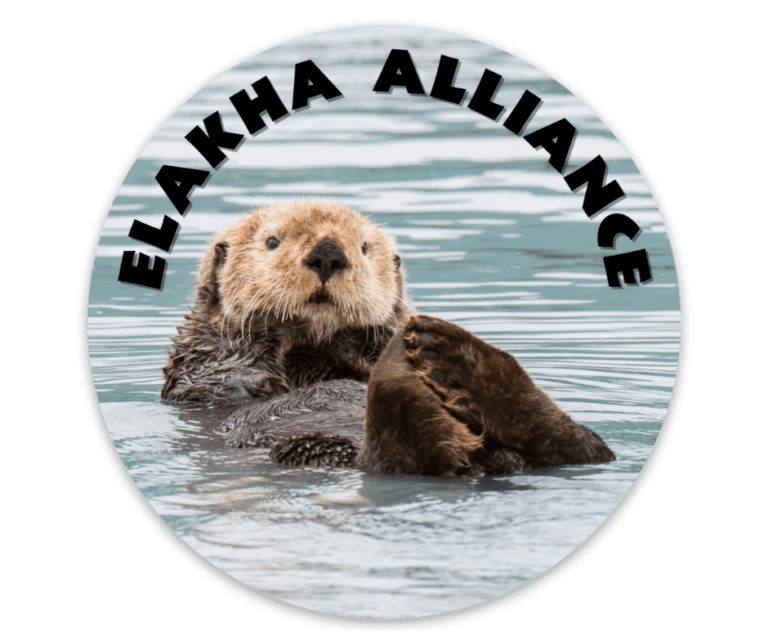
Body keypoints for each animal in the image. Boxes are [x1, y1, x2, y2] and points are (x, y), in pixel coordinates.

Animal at [163, 201, 614, 476]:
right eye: (271, 241)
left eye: (364, 247)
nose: (328, 253)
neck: (314, 353)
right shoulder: (200, 361)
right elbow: (228, 375)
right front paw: (272, 326)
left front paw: (375, 338)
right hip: (314, 449)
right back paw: (415, 375)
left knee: (582, 446)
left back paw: (450, 357)